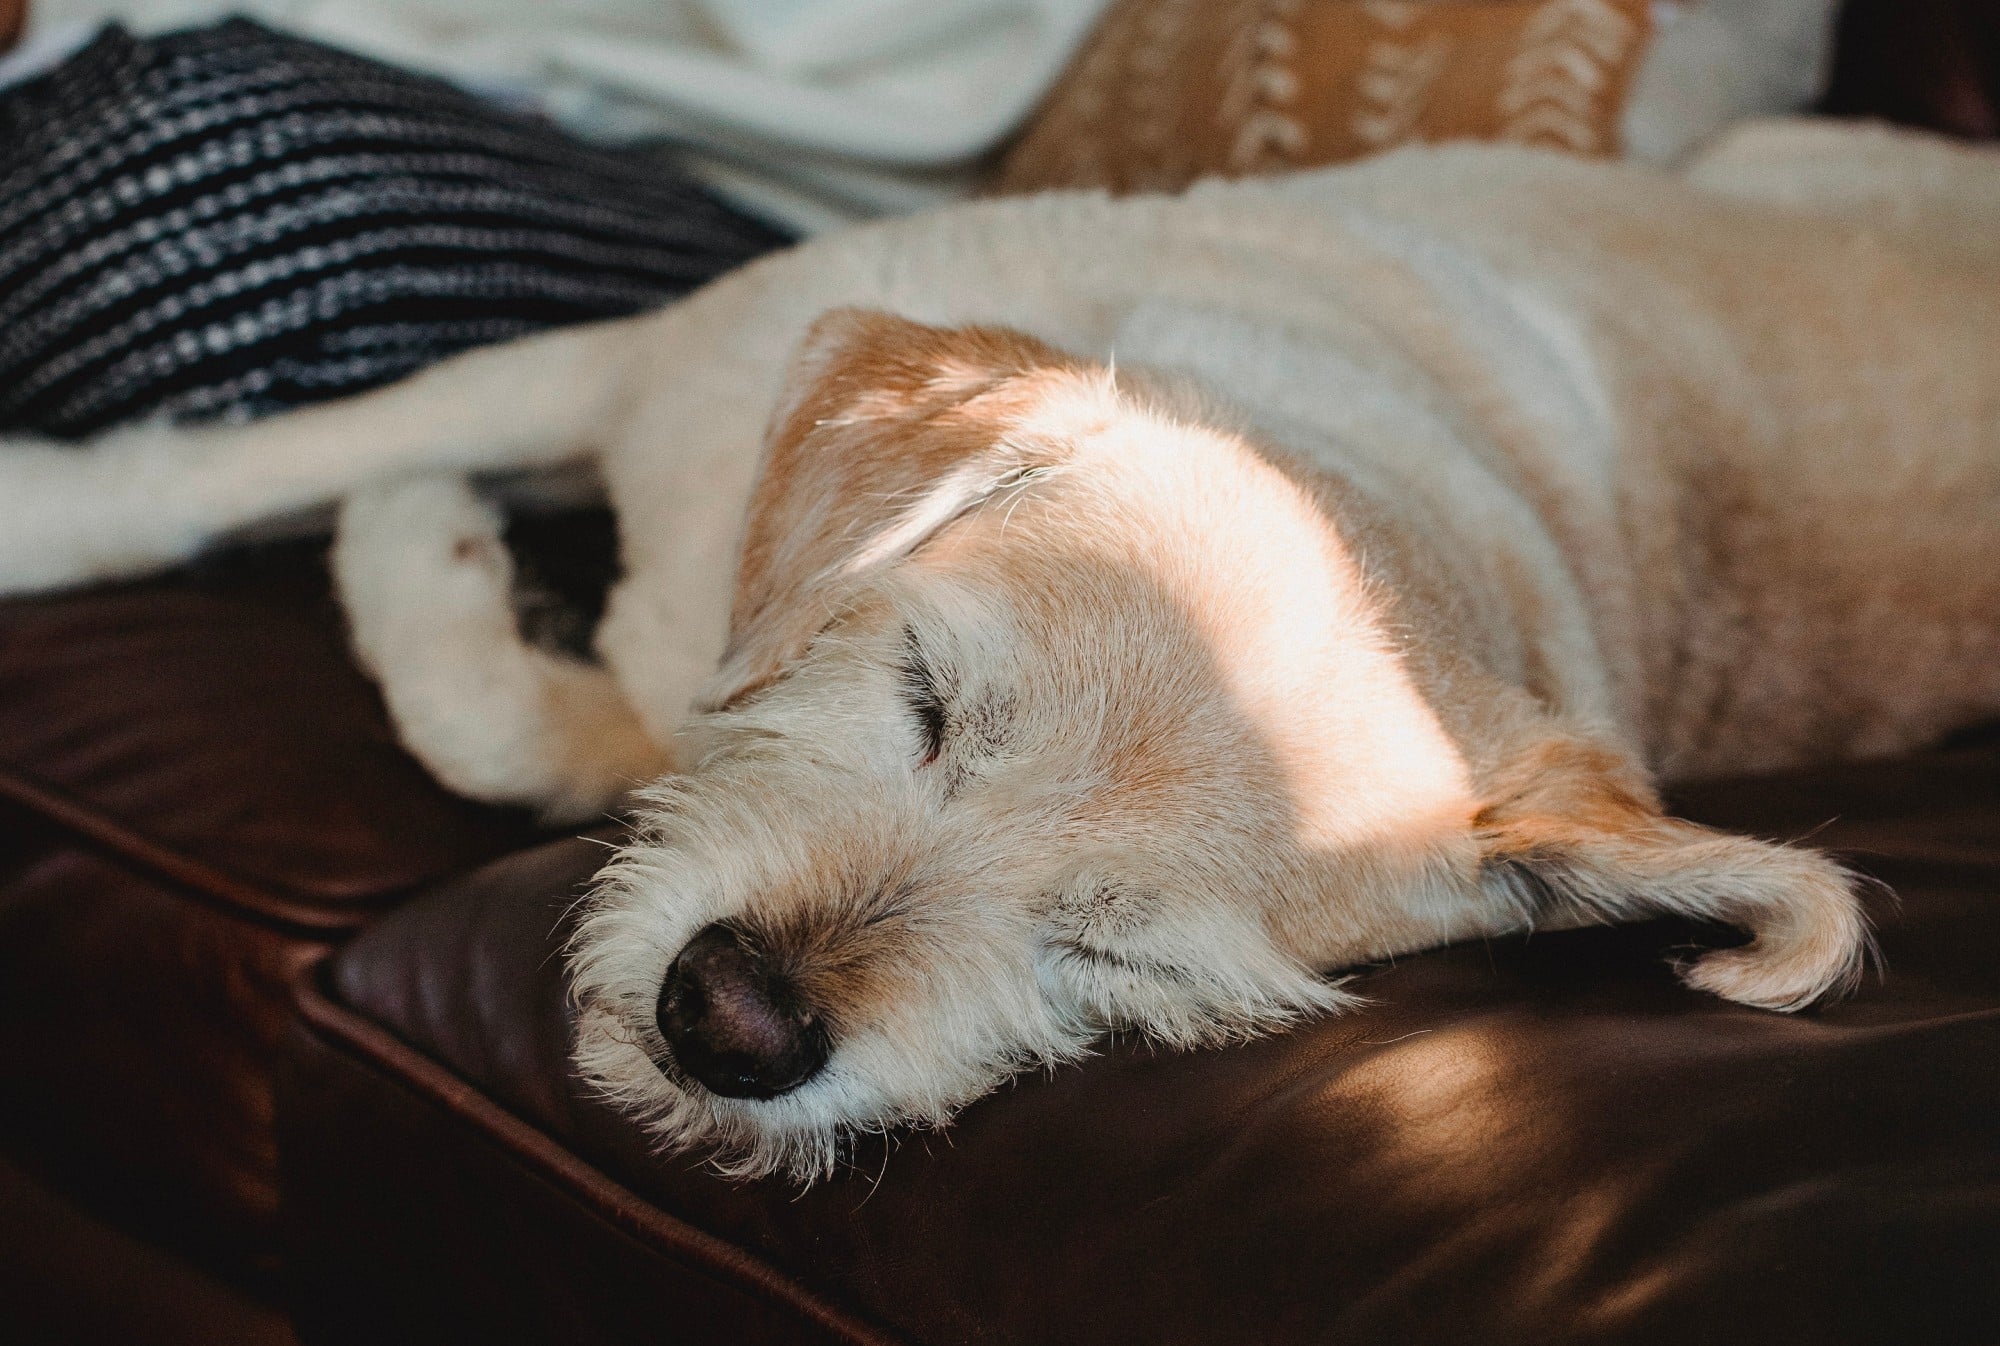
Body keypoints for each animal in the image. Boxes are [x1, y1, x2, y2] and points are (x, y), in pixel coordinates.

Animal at [3, 126, 2000, 1176]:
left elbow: (508, 716)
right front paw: (71, 513)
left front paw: (431, 547)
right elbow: (263, 464)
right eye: (926, 701)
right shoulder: (626, 362)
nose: (734, 1024)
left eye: (1115, 951)